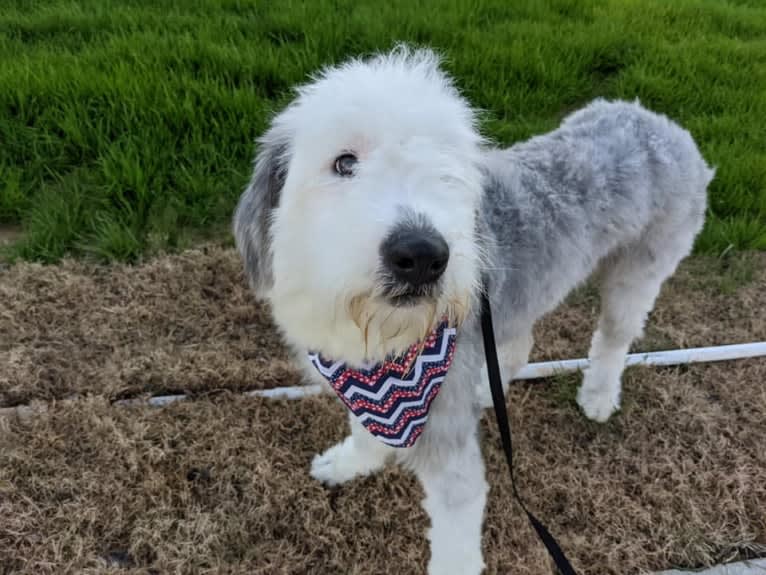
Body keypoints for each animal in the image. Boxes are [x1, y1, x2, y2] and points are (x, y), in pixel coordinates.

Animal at [234, 47, 712, 572]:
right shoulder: (365, 383)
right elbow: (365, 427)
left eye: (448, 168)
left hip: (640, 273)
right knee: (521, 342)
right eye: (344, 162)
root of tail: (656, 119)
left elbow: (456, 541)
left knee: (613, 338)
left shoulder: (450, 457)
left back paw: (599, 396)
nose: (422, 255)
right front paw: (350, 462)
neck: (393, 340)